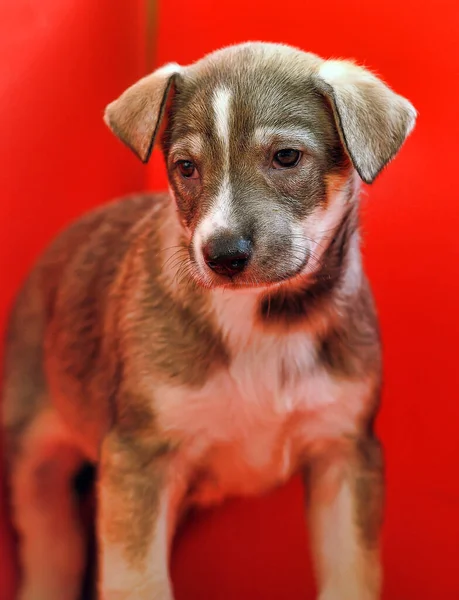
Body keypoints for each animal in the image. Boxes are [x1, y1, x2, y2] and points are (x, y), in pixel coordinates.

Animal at [1, 42, 416, 600]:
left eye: (287, 157)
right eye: (185, 167)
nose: (222, 255)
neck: (265, 321)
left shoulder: (345, 452)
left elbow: (352, 575)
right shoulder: (138, 460)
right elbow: (139, 582)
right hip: (35, 465)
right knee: (53, 553)